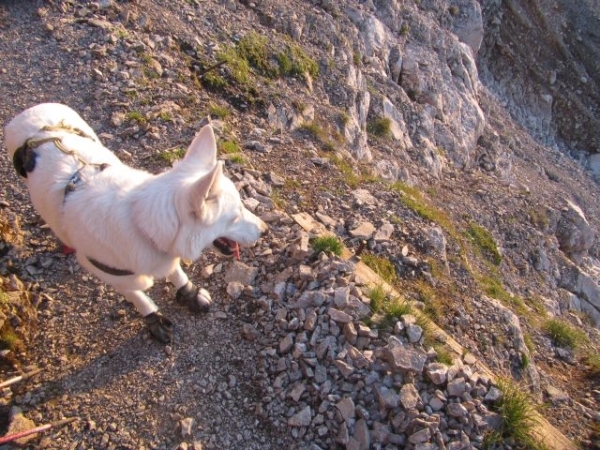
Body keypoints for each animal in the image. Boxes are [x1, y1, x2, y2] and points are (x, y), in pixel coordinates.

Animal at [4, 103, 268, 342]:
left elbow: (175, 272)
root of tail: (32, 114)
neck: (141, 222)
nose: (265, 230)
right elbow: (137, 296)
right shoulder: (107, 271)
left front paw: (188, 292)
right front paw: (153, 317)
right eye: (234, 216)